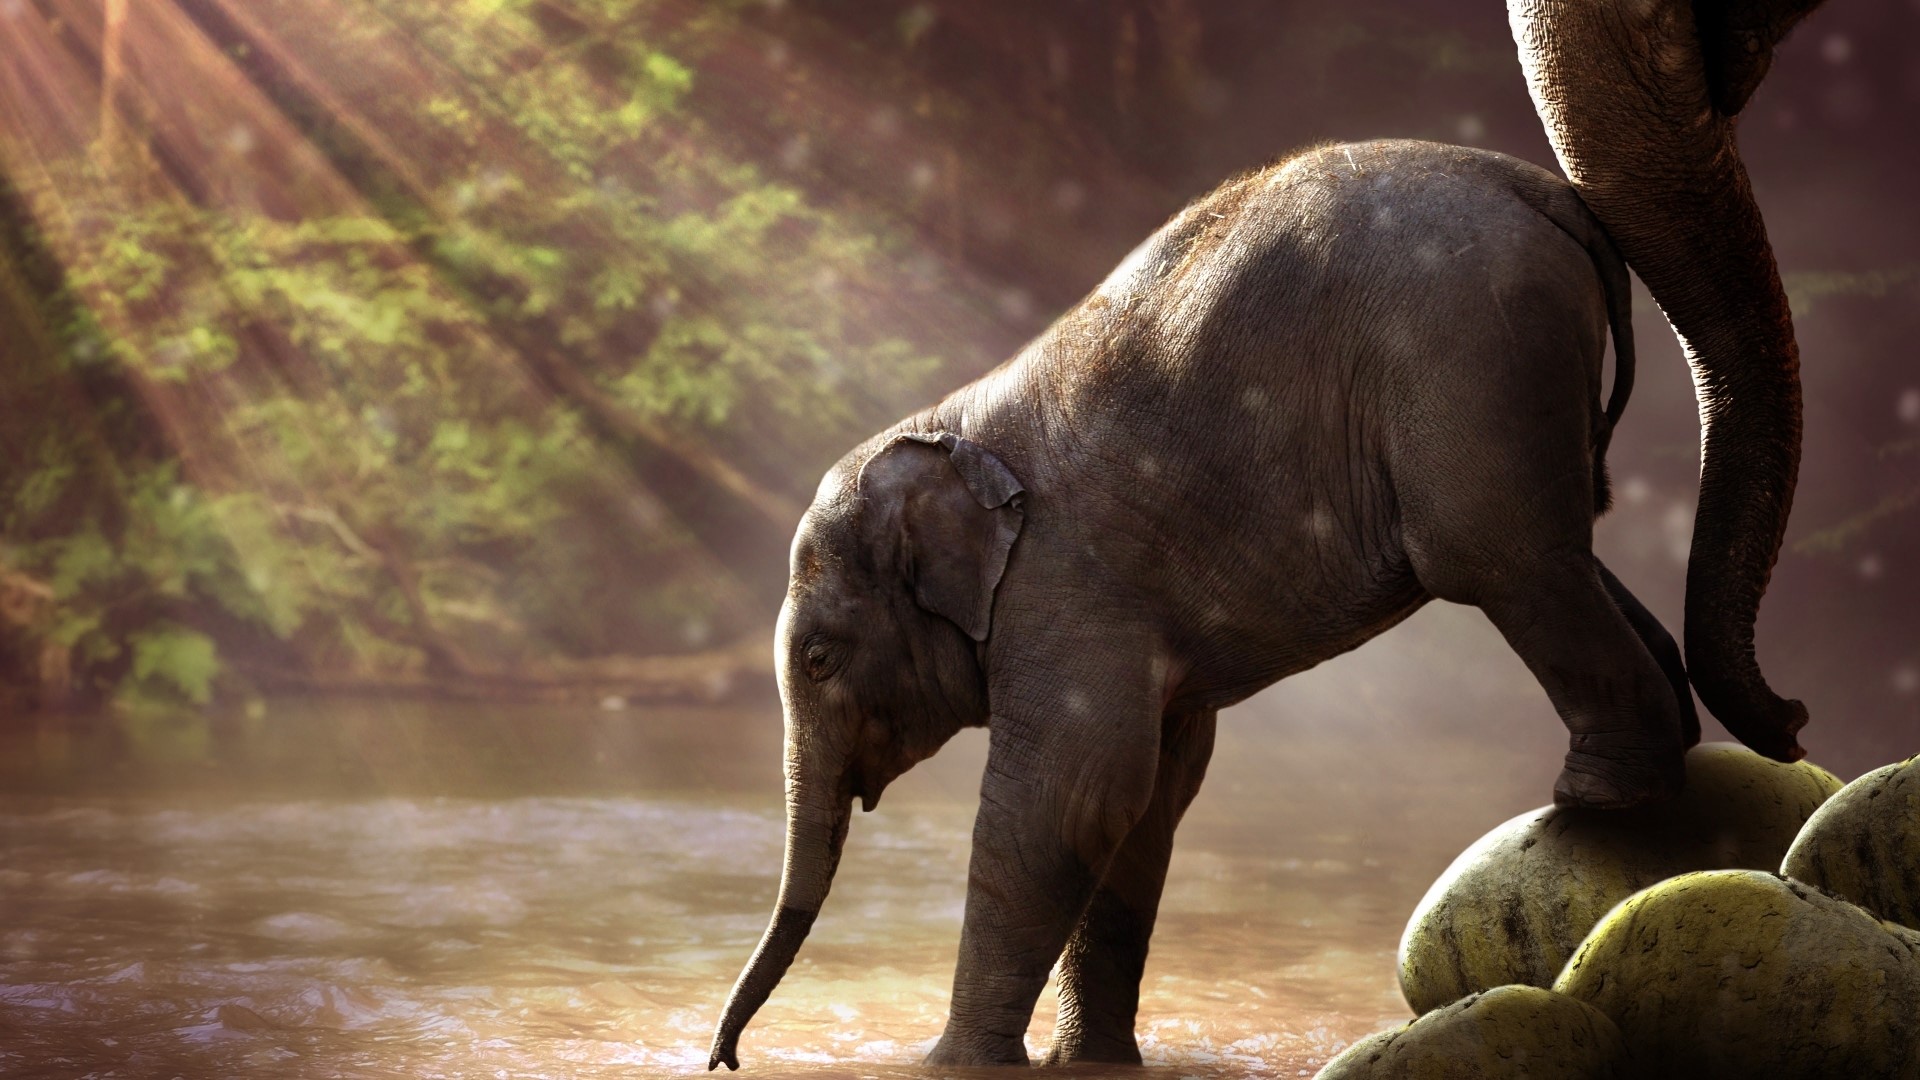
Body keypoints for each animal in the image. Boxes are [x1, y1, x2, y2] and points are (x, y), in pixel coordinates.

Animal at [708, 139, 1709, 1070]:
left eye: (819, 659)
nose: (723, 1057)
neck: (947, 429)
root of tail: (1539, 188)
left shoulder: (1066, 589)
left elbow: (1069, 796)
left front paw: (951, 1066)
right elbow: (1149, 797)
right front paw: (1093, 1064)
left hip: (1469, 356)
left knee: (1498, 557)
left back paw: (1597, 792)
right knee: (1563, 550)